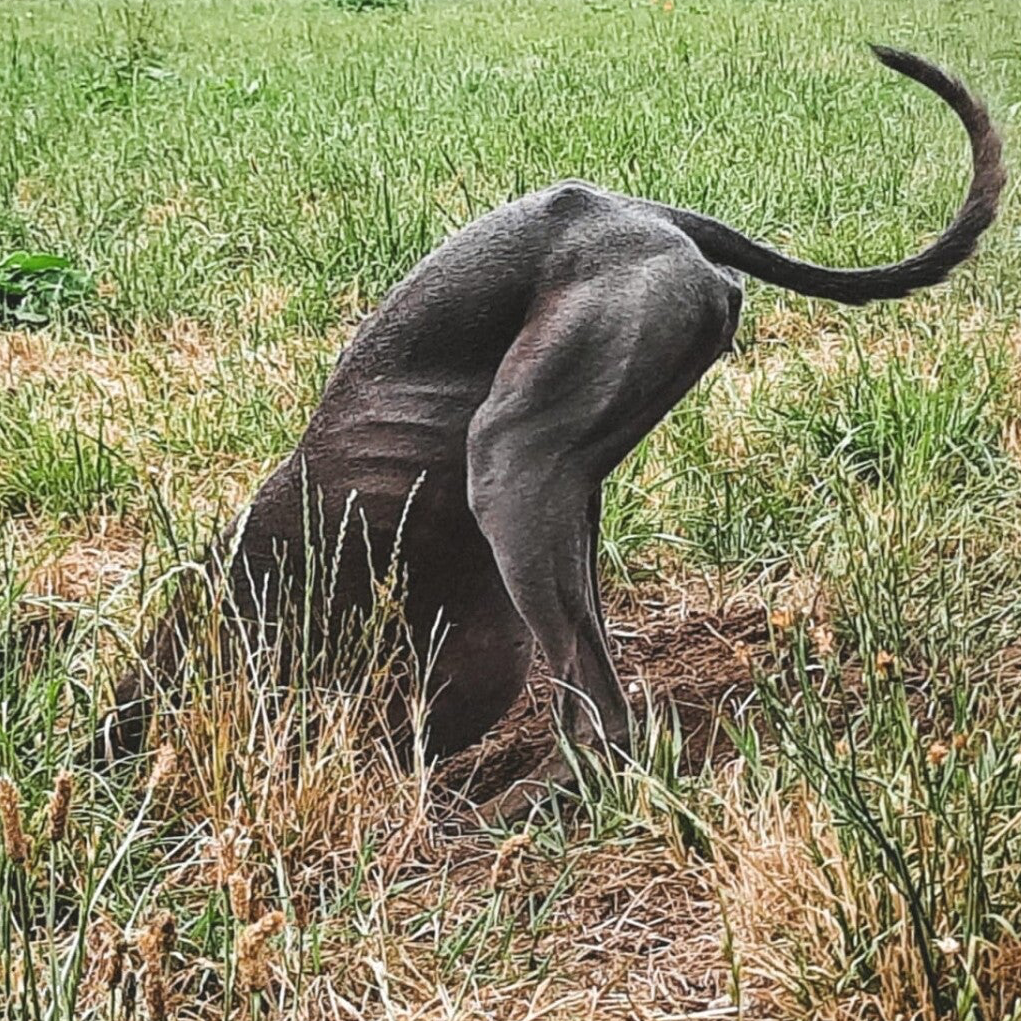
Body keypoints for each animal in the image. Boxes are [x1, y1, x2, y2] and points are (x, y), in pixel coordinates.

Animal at [101, 47, 1004, 822]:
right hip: (568, 494)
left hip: (513, 468)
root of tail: (646, 213)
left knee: (600, 714)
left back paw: (511, 811)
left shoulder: (454, 658)